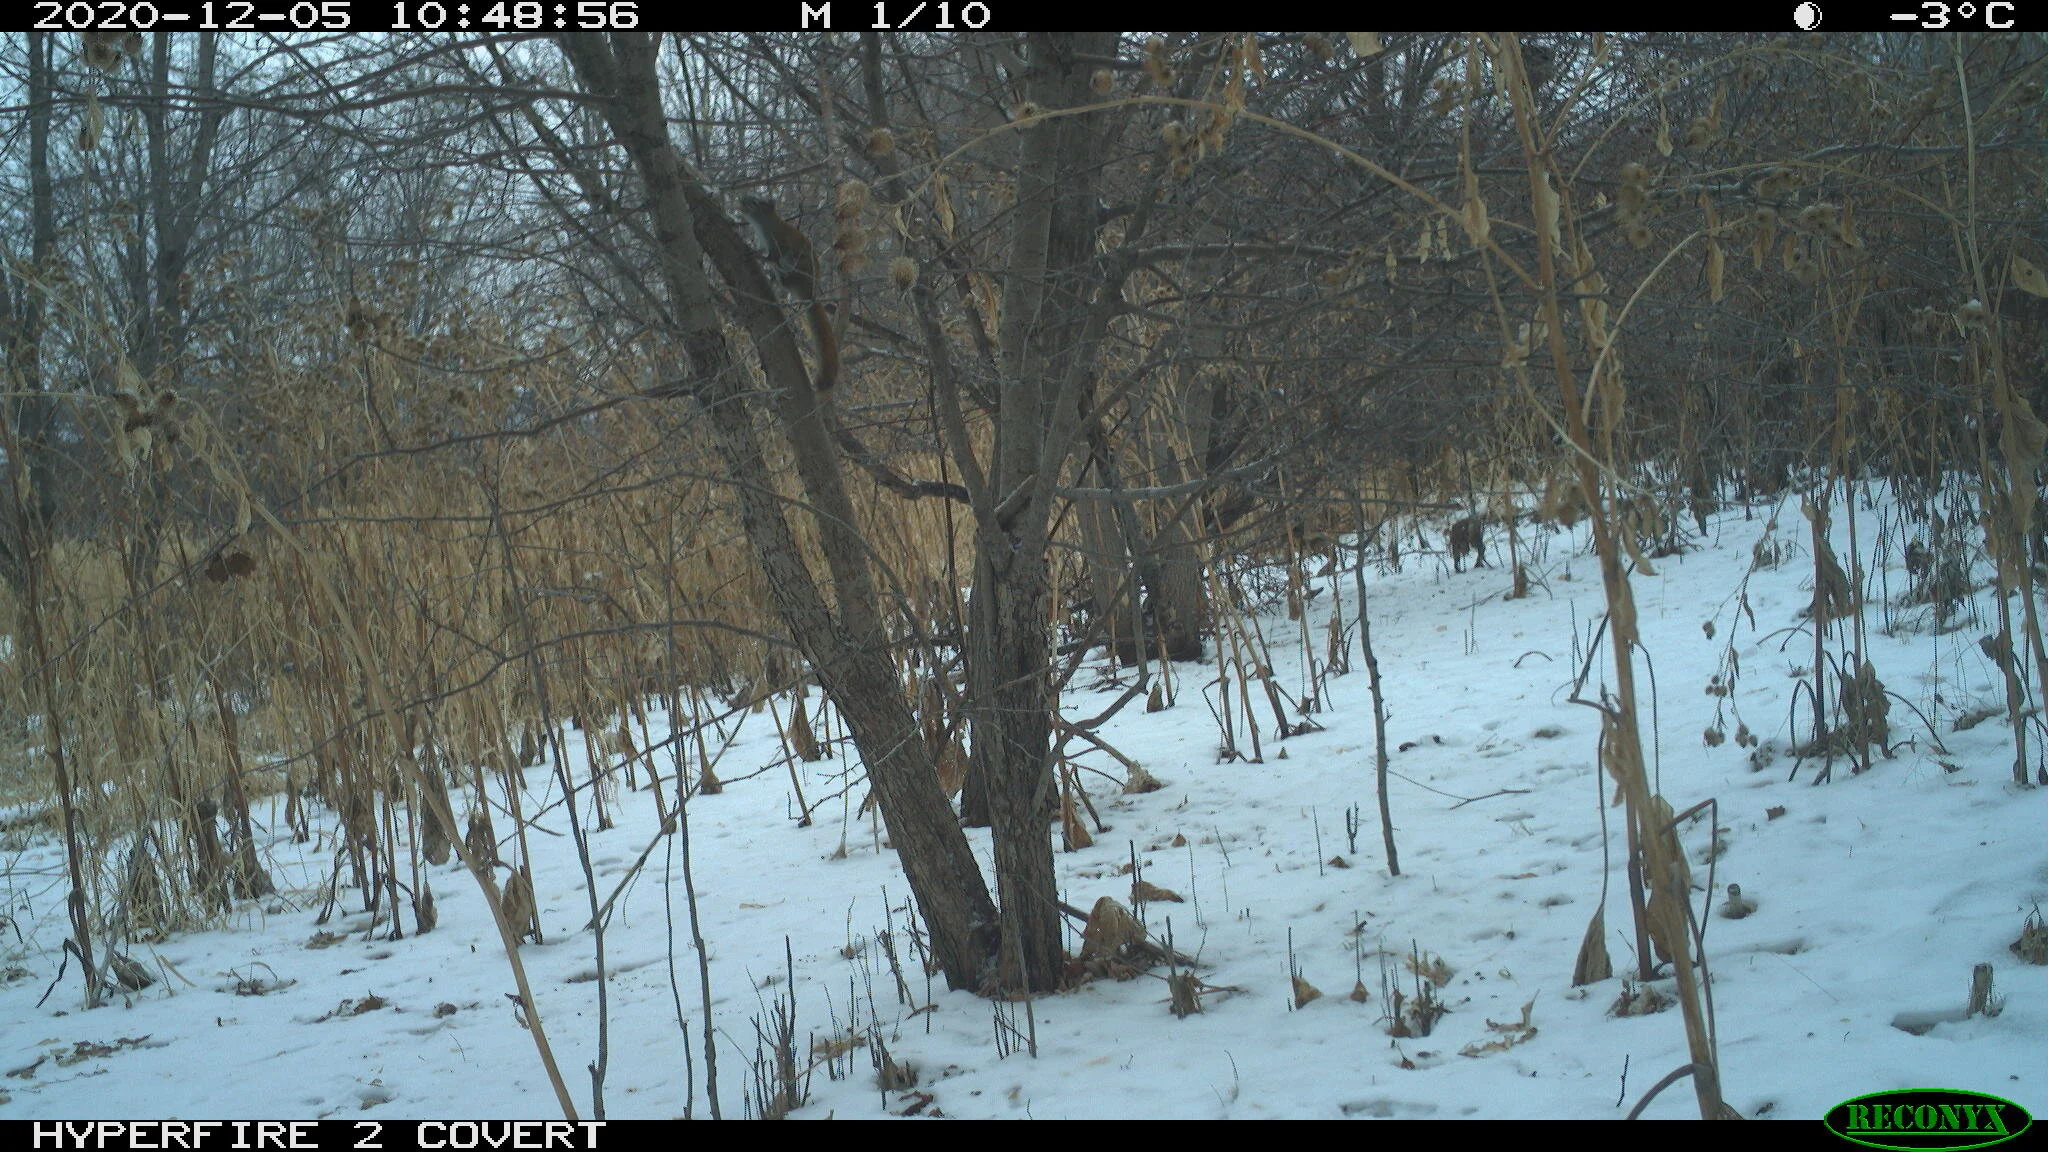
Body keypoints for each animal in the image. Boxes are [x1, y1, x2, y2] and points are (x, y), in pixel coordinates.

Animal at [738, 196, 838, 394]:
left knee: (786, 267)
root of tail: (809, 288)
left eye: (754, 202)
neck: (765, 225)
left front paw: (756, 255)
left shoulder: (778, 242)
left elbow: (772, 256)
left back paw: (780, 276)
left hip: (796, 261)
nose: (741, 200)